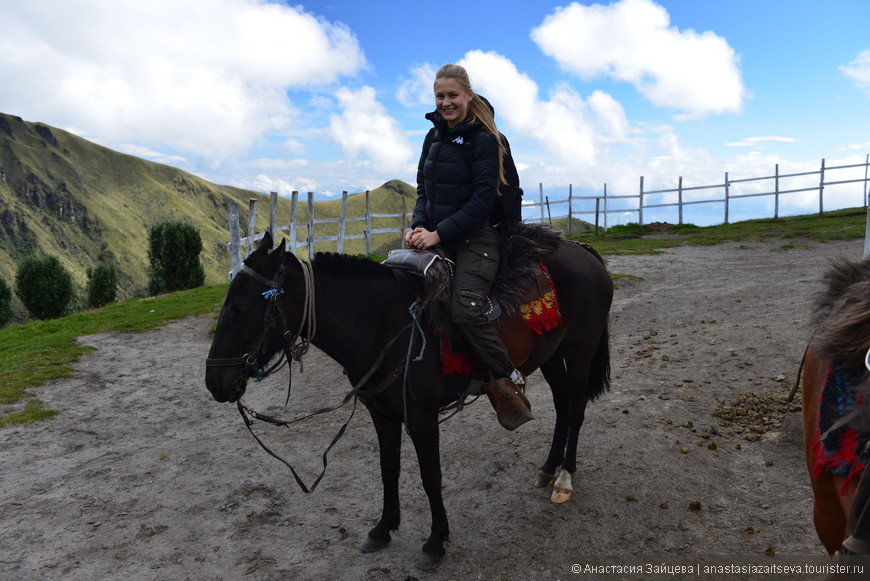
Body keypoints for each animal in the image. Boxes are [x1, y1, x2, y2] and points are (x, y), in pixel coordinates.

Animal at [204, 223, 612, 572]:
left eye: (241, 307)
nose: (214, 382)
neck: (384, 324)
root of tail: (584, 250)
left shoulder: (421, 416)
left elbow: (431, 475)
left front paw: (435, 541)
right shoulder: (382, 414)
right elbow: (389, 469)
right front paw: (383, 528)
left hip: (580, 350)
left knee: (575, 409)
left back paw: (564, 479)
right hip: (552, 355)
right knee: (561, 406)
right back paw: (548, 468)